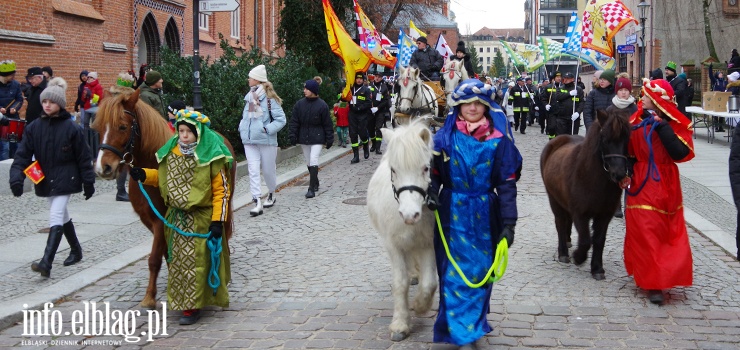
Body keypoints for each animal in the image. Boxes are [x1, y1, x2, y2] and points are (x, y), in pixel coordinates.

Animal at [92, 91, 236, 308]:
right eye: (99, 128)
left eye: (122, 126)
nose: (103, 168)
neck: (152, 163)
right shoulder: (150, 220)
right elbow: (164, 252)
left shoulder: (161, 219)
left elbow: (154, 258)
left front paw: (149, 298)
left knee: (222, 230)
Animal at [368, 119, 436, 340]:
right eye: (394, 170)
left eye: (425, 168)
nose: (409, 214)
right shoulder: (393, 244)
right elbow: (400, 283)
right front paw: (400, 324)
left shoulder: (428, 242)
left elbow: (429, 283)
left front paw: (420, 305)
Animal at [536, 108, 632, 280]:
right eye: (605, 139)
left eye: (627, 139)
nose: (619, 174)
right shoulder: (580, 213)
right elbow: (586, 240)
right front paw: (578, 257)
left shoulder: (605, 215)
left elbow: (599, 240)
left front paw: (597, 269)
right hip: (553, 199)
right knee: (560, 222)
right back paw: (563, 253)